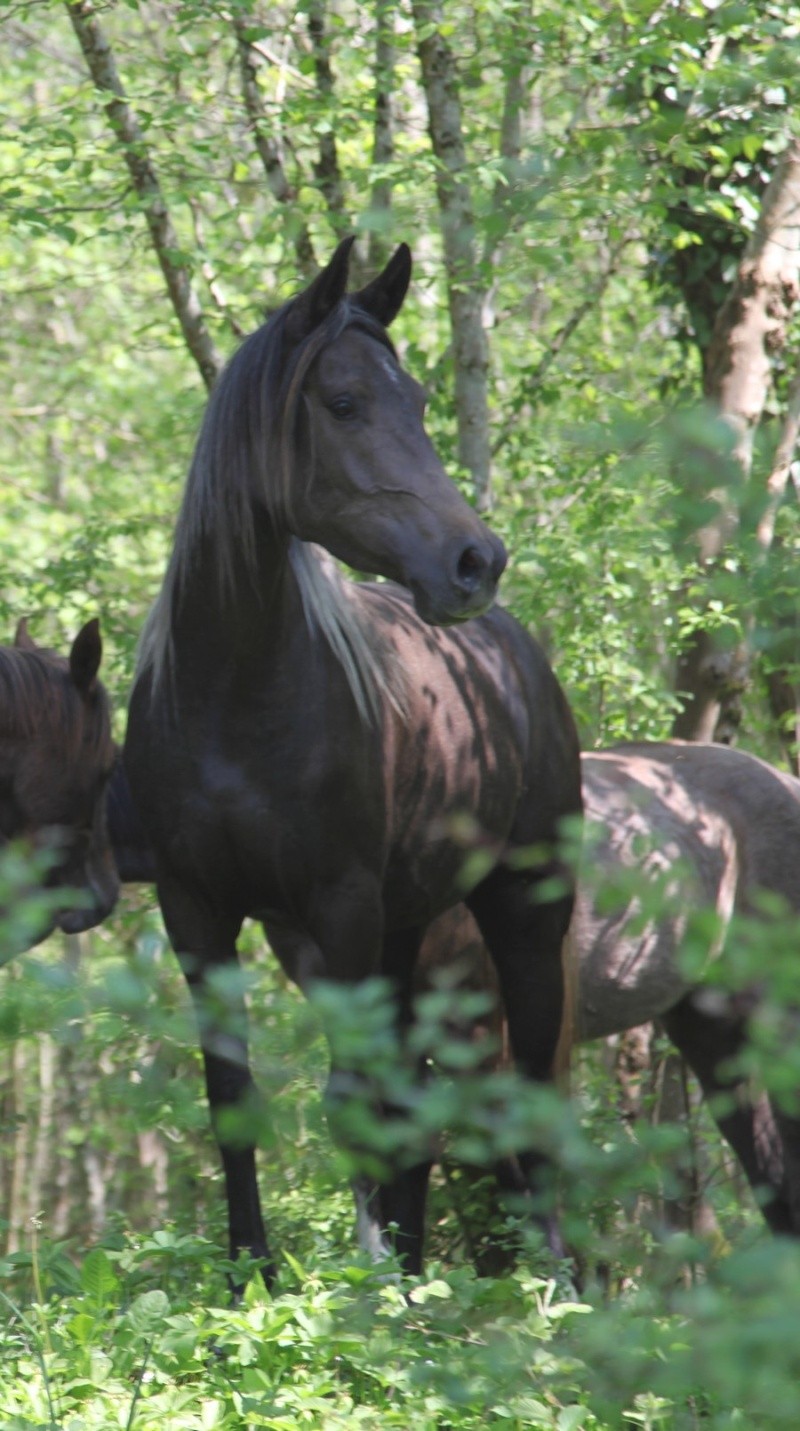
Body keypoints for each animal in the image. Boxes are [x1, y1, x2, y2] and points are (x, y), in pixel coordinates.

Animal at [128, 240, 586, 1282]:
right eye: (341, 402)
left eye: (414, 399)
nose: (475, 561)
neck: (231, 701)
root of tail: (515, 652)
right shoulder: (198, 913)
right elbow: (234, 1101)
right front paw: (252, 1276)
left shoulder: (338, 908)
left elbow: (350, 1107)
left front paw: (361, 1289)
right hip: (404, 934)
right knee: (418, 1105)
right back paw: (424, 1278)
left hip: (519, 917)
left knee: (525, 1093)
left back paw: (551, 1285)